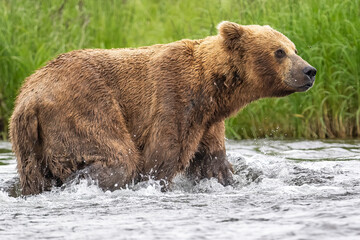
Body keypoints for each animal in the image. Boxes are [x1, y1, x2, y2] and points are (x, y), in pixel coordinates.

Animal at [9, 21, 316, 195]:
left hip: (25, 142)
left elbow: (212, 164)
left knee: (33, 176)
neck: (212, 87)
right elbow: (159, 160)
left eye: (294, 48)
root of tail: (28, 101)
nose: (309, 71)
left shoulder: (208, 122)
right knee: (118, 157)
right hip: (82, 108)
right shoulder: (175, 100)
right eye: (279, 52)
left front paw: (230, 180)